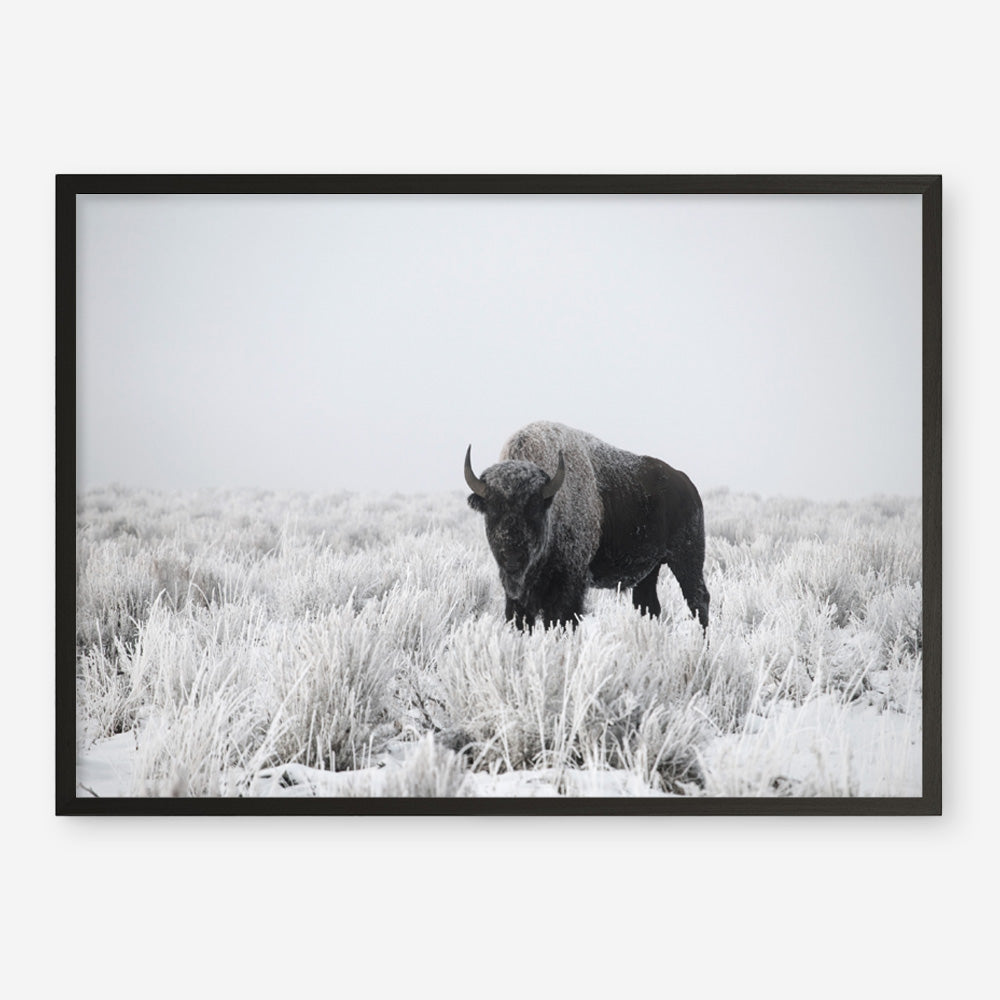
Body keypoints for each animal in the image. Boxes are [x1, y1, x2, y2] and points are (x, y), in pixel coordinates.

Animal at [465, 421, 709, 631]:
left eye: (533, 508)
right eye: (492, 509)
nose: (512, 556)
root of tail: (687, 485)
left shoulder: (570, 583)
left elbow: (562, 619)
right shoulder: (517, 594)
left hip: (686, 558)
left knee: (698, 600)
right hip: (651, 569)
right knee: (649, 606)